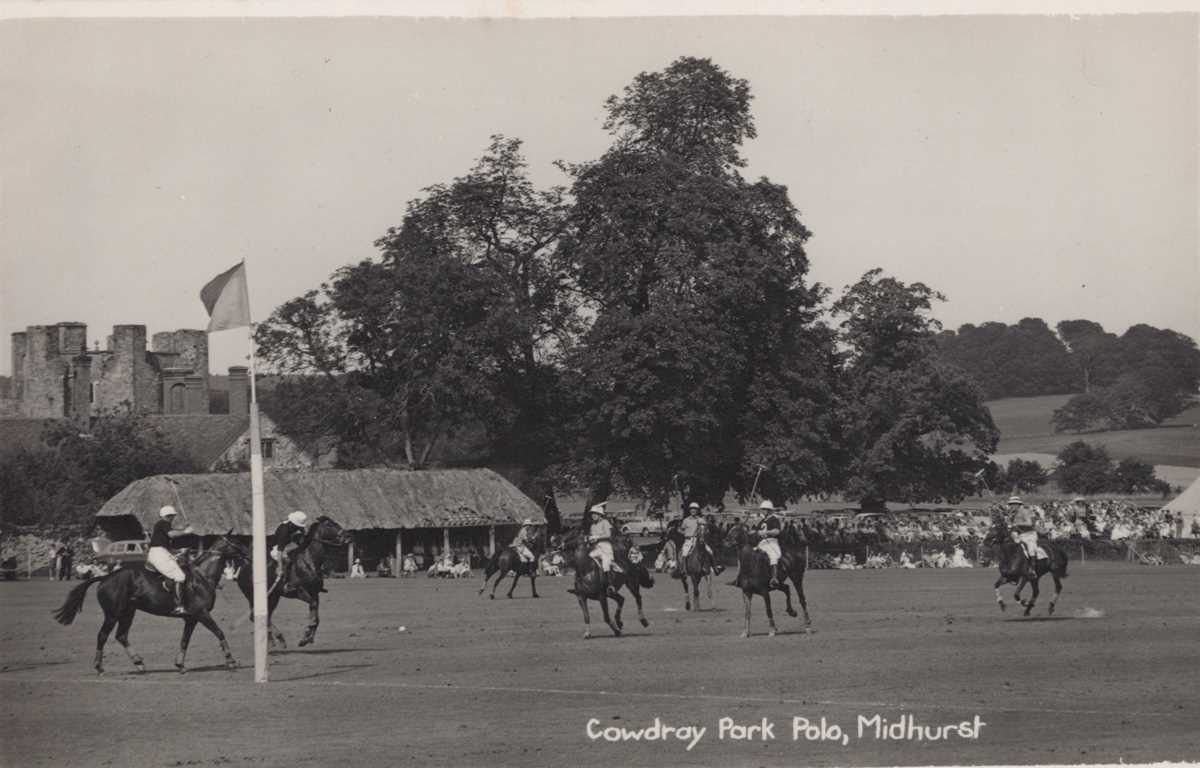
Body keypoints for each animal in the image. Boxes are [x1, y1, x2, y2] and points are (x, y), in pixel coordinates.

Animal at [53, 532, 248, 672]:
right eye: (236, 543)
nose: (248, 554)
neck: (203, 577)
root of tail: (105, 577)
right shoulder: (202, 614)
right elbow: (219, 632)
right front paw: (231, 661)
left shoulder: (191, 618)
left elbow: (185, 641)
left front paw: (180, 665)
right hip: (113, 614)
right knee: (102, 635)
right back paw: (99, 667)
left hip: (128, 612)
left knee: (121, 635)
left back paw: (139, 662)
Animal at [234, 516, 348, 648]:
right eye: (330, 524)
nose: (348, 536)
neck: (309, 561)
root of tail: (241, 570)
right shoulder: (300, 592)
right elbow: (313, 609)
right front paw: (307, 634)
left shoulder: (315, 593)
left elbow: (316, 616)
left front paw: (307, 638)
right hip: (255, 597)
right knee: (254, 616)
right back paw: (279, 638)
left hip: (273, 597)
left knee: (264, 615)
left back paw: (272, 641)